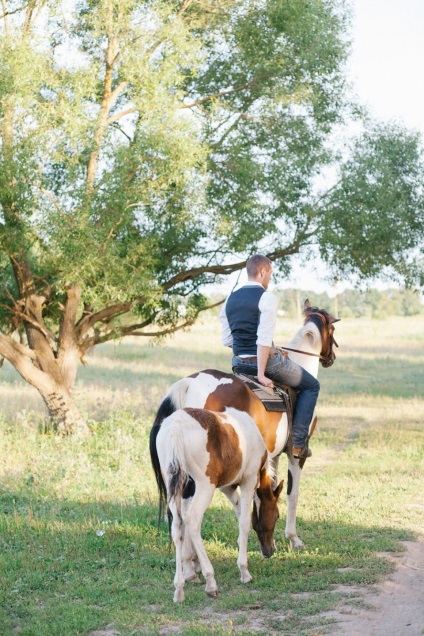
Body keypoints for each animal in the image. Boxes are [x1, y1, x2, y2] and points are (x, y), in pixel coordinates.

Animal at [151, 298, 340, 552]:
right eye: (333, 329)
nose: (331, 358)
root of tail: (189, 383)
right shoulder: (296, 455)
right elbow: (292, 494)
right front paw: (293, 538)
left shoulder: (272, 455)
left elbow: (271, 490)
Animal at [153, 408, 284, 600]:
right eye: (277, 516)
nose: (269, 551)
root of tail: (176, 427)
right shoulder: (249, 481)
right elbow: (244, 522)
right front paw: (244, 570)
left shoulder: (225, 488)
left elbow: (239, 512)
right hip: (205, 486)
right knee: (192, 521)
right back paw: (210, 581)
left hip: (174, 486)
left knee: (178, 526)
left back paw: (179, 588)